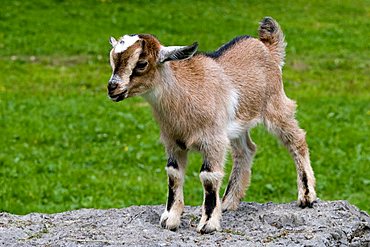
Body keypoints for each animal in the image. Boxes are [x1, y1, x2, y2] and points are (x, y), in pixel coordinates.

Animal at [106, 16, 316, 233]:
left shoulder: (213, 140)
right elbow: (173, 174)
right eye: (112, 59)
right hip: (236, 126)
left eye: (141, 63)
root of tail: (267, 47)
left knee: (296, 139)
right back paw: (228, 202)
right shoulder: (172, 141)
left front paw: (208, 224)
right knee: (246, 150)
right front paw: (170, 219)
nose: (112, 88)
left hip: (275, 105)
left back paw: (306, 196)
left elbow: (208, 177)